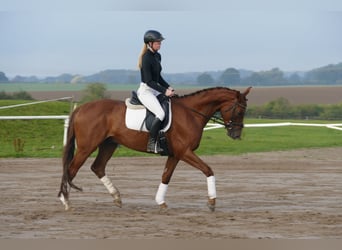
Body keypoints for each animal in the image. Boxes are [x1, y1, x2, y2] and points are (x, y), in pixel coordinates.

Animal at [58, 86, 251, 211]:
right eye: (239, 111)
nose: (236, 135)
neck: (191, 113)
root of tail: (81, 108)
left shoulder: (176, 154)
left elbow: (166, 176)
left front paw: (160, 202)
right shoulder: (185, 152)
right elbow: (208, 170)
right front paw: (212, 202)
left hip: (109, 144)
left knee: (97, 167)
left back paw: (117, 198)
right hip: (86, 147)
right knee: (71, 169)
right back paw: (65, 201)